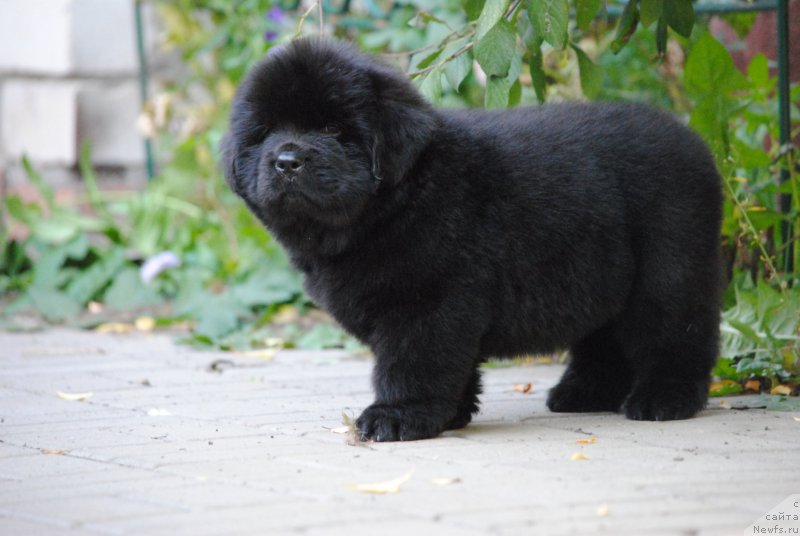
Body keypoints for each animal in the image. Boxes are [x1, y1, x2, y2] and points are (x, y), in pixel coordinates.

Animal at [220, 36, 724, 440]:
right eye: (265, 133)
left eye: (330, 128)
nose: (286, 160)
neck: (399, 202)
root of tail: (693, 139)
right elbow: (453, 367)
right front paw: (451, 414)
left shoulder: (427, 302)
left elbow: (413, 363)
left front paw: (397, 417)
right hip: (604, 273)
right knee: (605, 336)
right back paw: (583, 392)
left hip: (669, 265)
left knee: (678, 332)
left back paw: (664, 398)